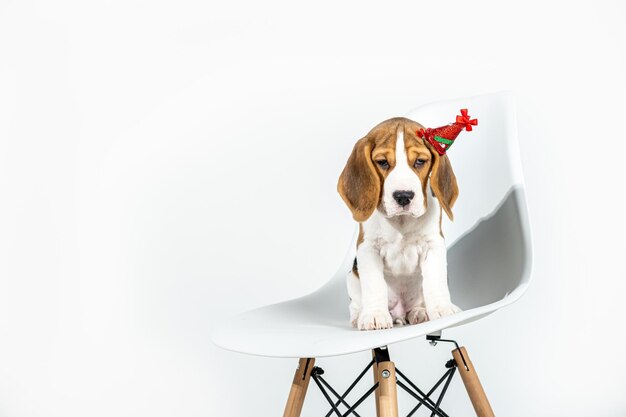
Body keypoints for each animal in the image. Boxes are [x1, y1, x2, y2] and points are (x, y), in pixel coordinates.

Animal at [336, 116, 458, 328]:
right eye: (383, 162)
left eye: (420, 161)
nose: (403, 196)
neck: (401, 221)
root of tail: (400, 312)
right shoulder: (368, 247)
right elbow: (374, 284)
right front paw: (375, 315)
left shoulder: (433, 244)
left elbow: (435, 281)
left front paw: (442, 309)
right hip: (351, 277)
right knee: (356, 304)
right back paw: (359, 316)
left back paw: (420, 312)